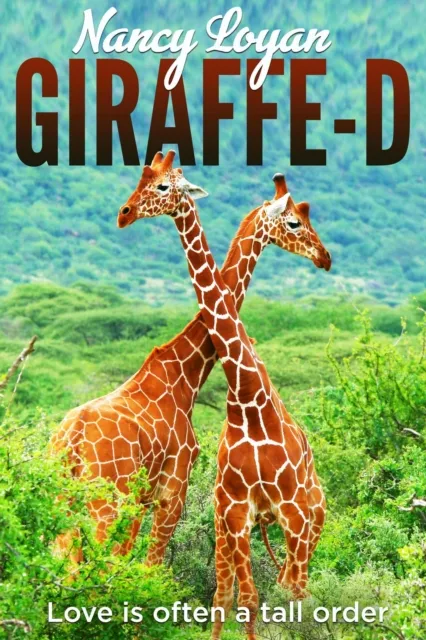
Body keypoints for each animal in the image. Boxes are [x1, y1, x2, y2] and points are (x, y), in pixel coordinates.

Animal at [52, 150, 330, 571]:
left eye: (159, 184)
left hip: (64, 497)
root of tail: (71, 440)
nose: (324, 256)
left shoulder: (146, 497)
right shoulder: (173, 488)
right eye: (295, 221)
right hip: (106, 501)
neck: (186, 374)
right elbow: (149, 567)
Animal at [116, 151, 331, 639]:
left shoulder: (290, 511)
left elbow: (280, 595)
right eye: (295, 221)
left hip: (311, 519)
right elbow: (241, 598)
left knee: (299, 588)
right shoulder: (234, 510)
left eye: (162, 185)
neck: (248, 399)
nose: (325, 257)